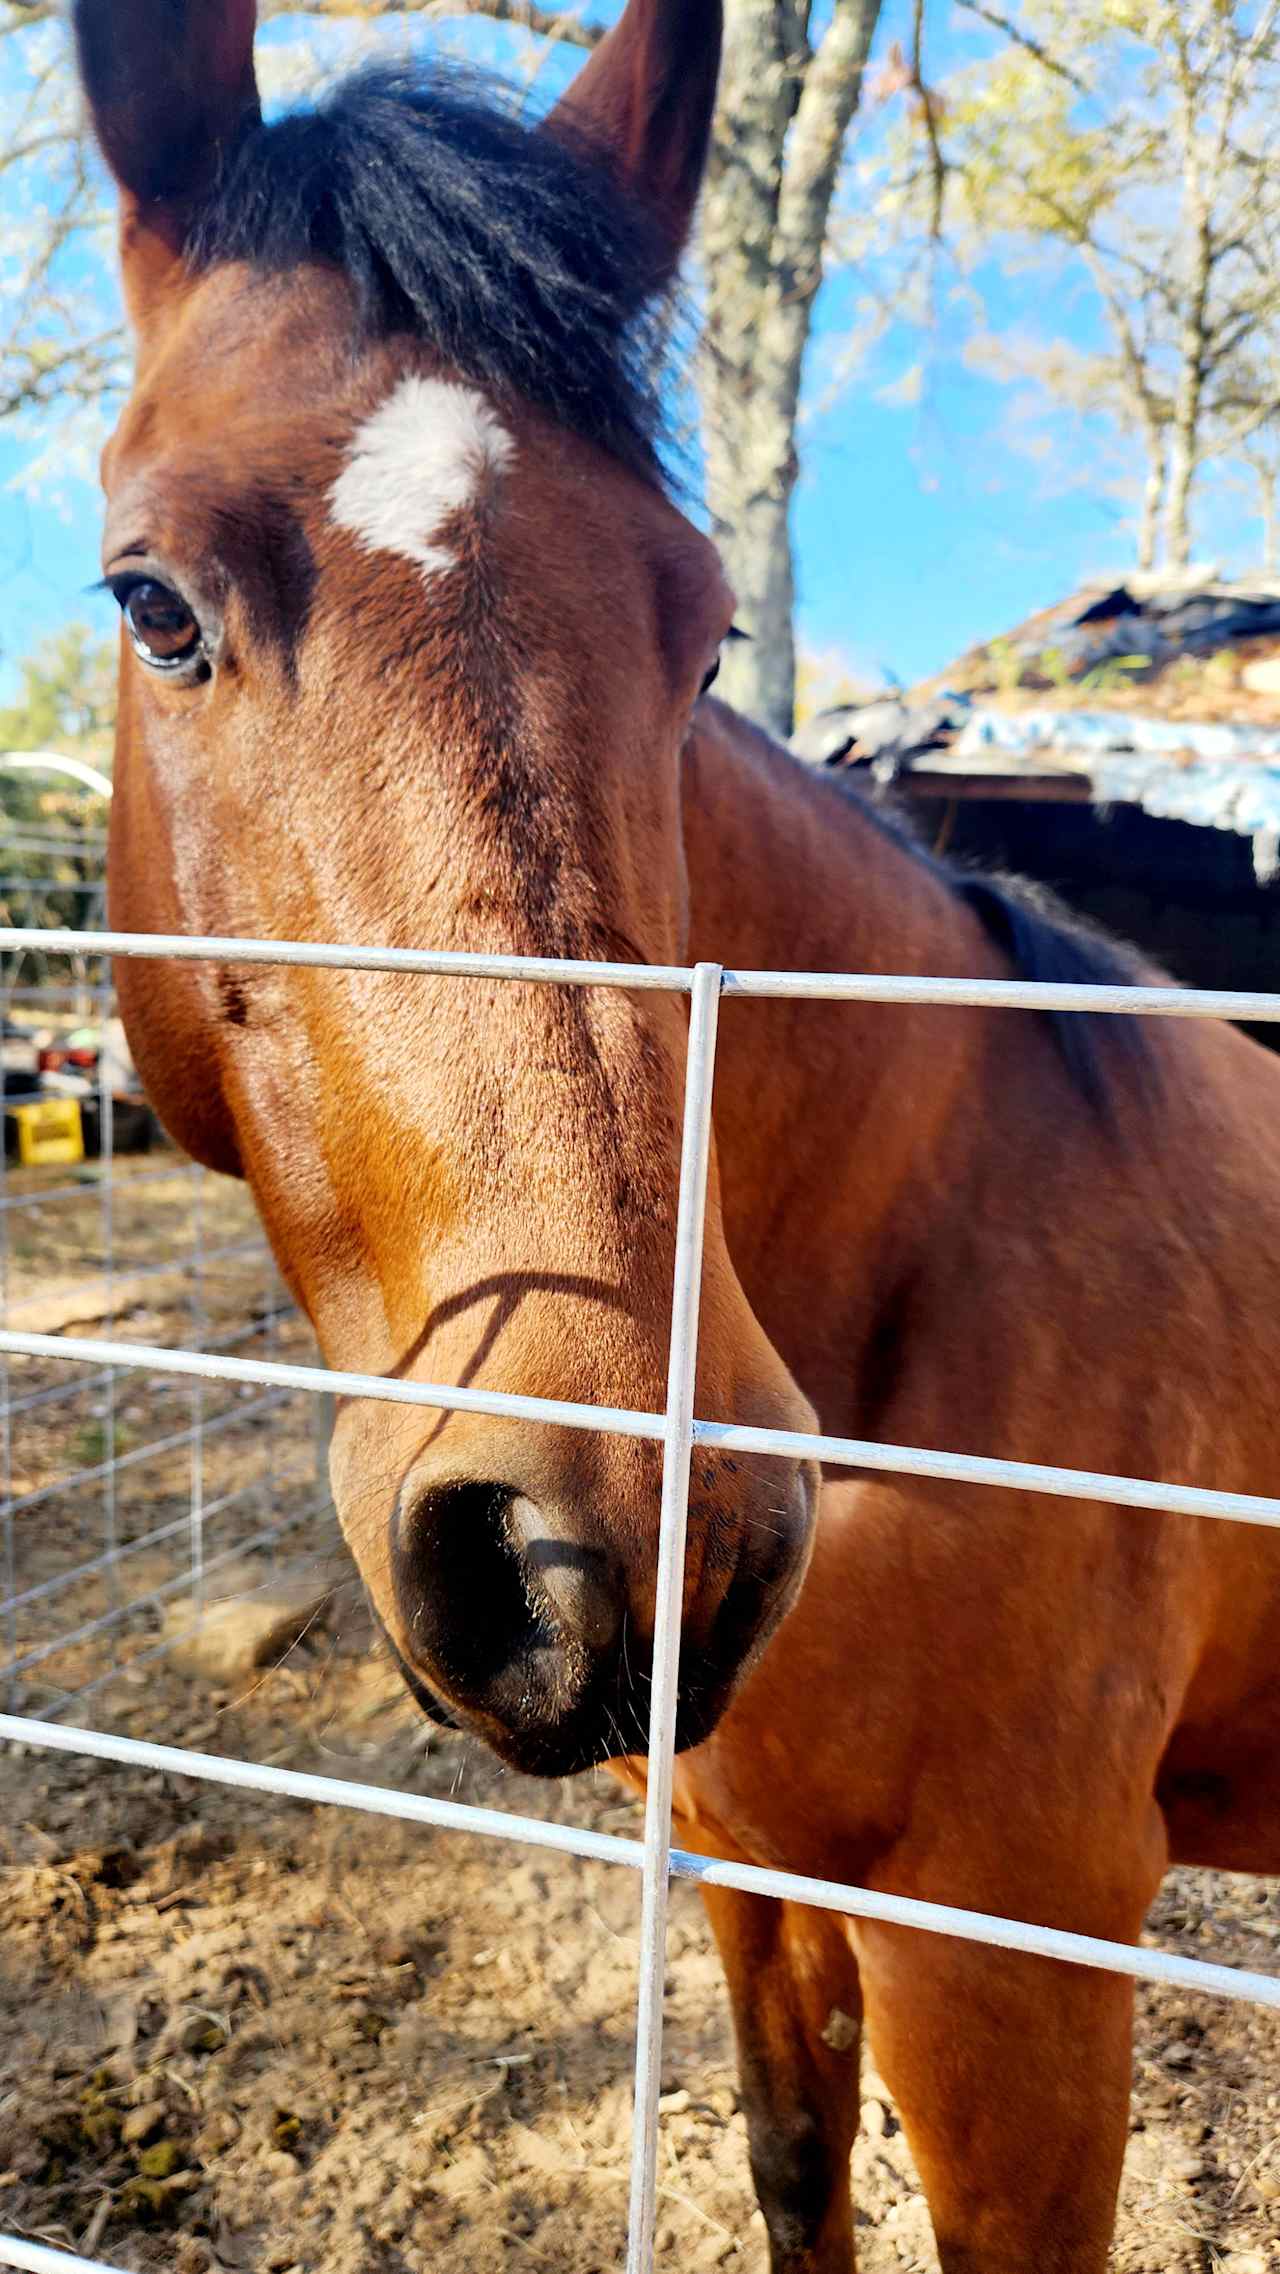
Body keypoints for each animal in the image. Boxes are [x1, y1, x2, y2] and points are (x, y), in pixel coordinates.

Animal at [75, 4, 1280, 2274]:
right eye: (151, 604)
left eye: (703, 630)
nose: (614, 1535)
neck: (932, 1250)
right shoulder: (744, 1876)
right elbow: (794, 2170)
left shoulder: (1015, 1972)